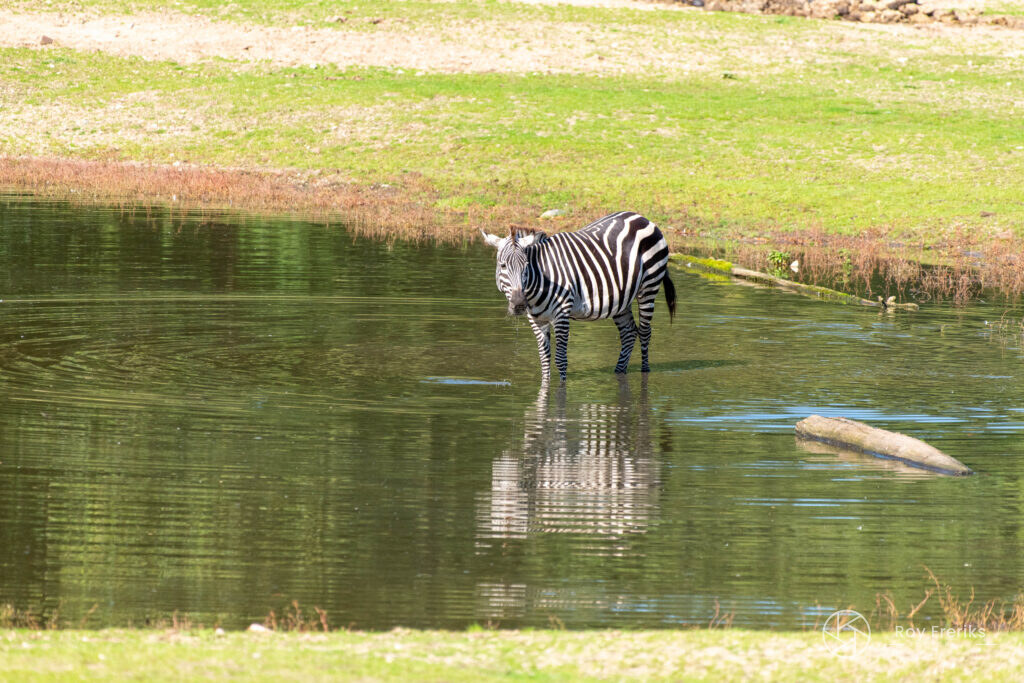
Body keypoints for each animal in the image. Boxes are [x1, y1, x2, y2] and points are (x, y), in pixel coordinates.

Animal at [481, 211, 676, 383]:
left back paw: (645, 372)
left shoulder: (562, 314)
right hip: (621, 298)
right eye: (503, 265)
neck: (541, 279)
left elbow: (560, 360)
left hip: (649, 286)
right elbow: (544, 359)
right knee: (628, 333)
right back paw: (619, 372)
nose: (519, 304)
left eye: (526, 265)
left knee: (644, 332)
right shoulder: (536, 320)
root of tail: (642, 218)